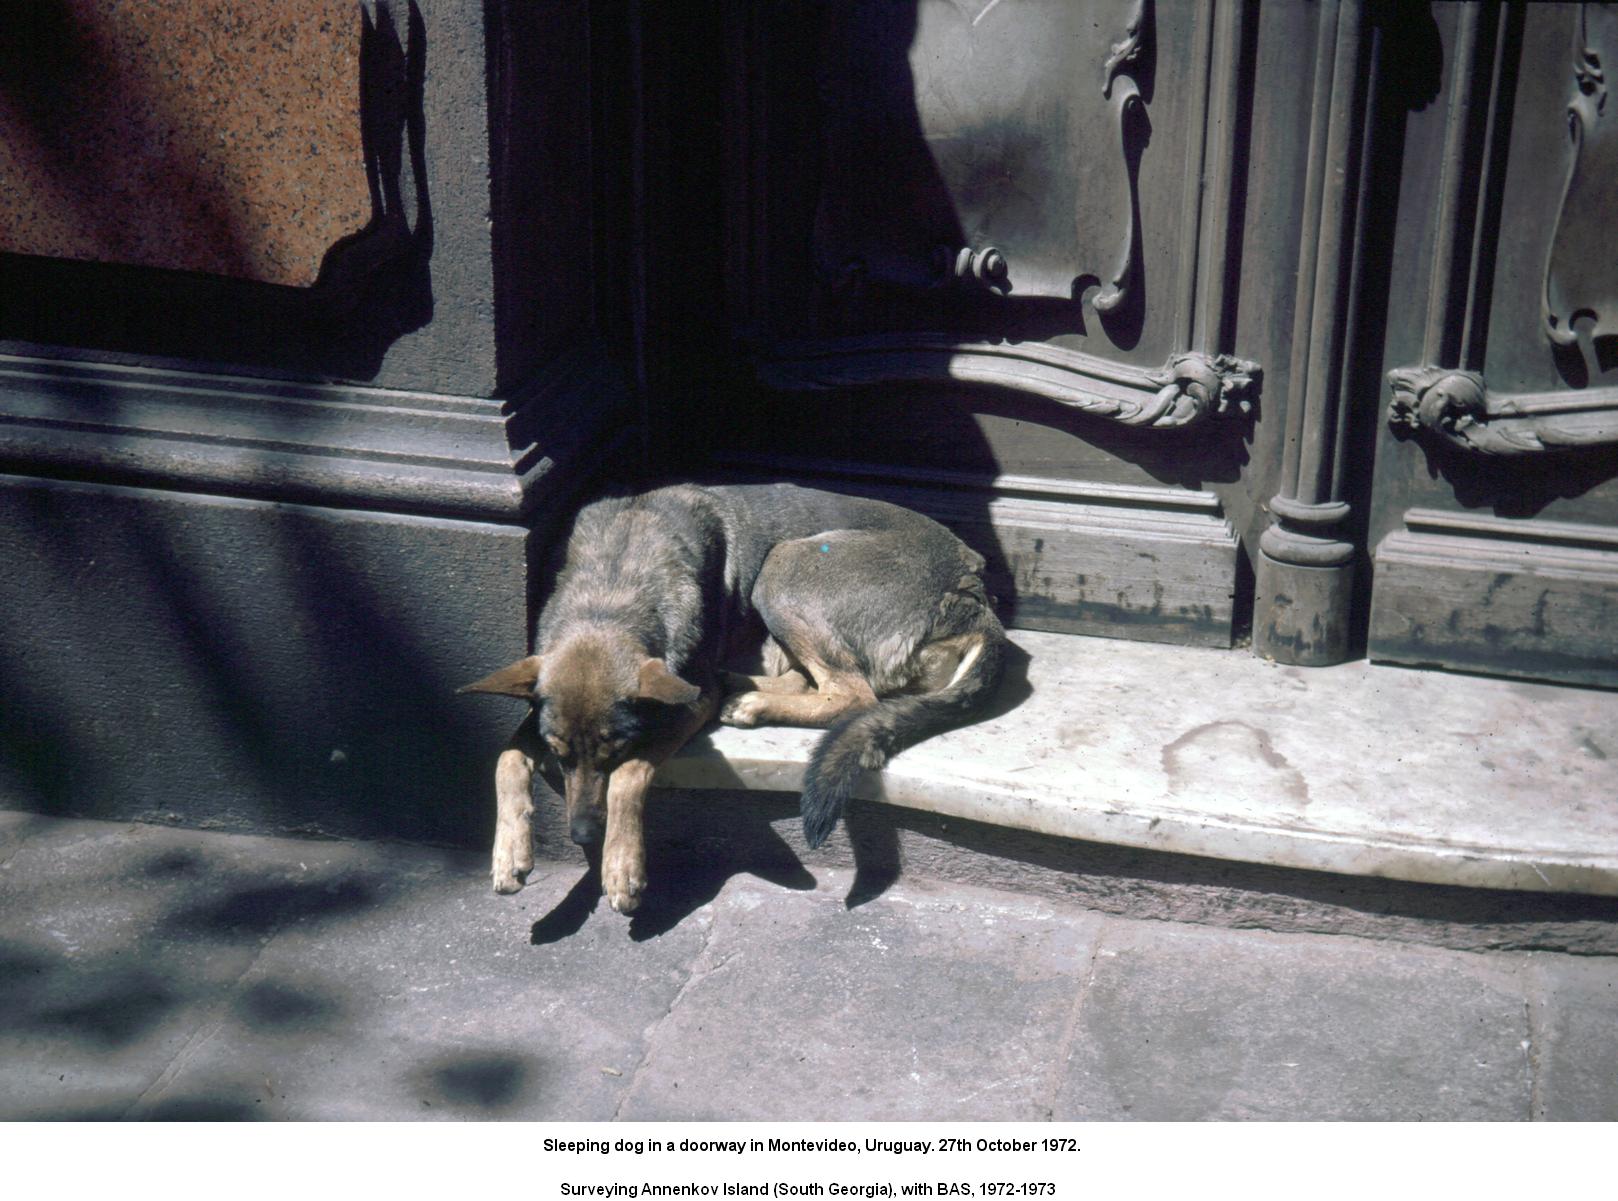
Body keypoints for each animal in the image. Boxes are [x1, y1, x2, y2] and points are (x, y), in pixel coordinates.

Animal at [462, 485, 1003, 919]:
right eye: (557, 754)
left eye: (615, 750)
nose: (581, 837)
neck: (610, 595)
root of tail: (973, 593)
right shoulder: (541, 702)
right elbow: (506, 756)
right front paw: (509, 853)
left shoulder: (686, 702)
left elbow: (629, 777)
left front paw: (621, 866)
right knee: (811, 682)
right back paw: (743, 686)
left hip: (783, 568)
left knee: (850, 694)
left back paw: (750, 703)